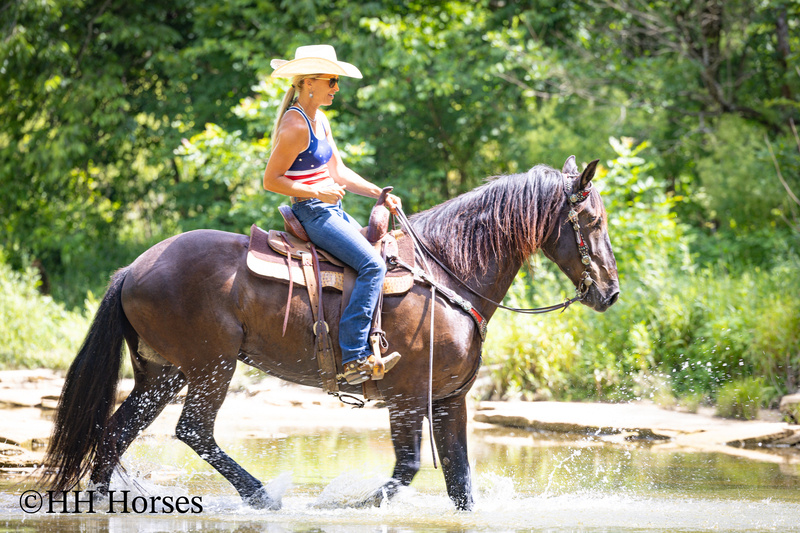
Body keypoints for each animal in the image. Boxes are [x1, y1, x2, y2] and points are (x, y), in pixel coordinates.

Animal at [41, 156, 619, 511]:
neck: (449, 274)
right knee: (193, 431)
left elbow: (459, 482)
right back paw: (262, 496)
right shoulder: (409, 397)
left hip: (163, 373)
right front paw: (350, 504)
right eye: (591, 221)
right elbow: (406, 470)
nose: (611, 293)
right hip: (211, 366)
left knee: (116, 433)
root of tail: (133, 269)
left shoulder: (449, 398)